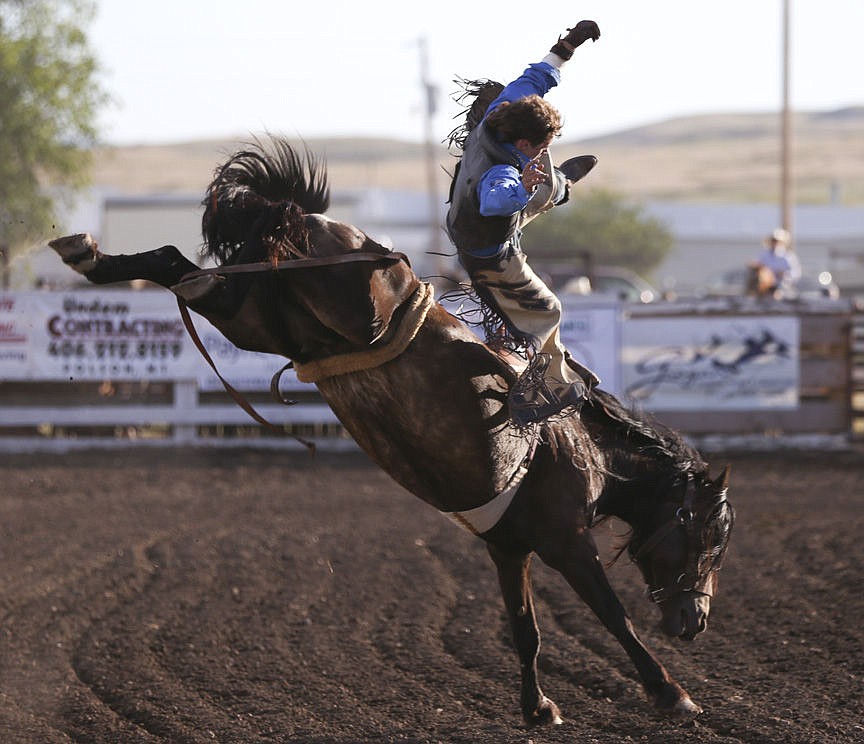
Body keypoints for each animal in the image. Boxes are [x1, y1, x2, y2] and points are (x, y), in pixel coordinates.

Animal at [49, 135, 736, 728]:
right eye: (710, 535)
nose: (696, 621)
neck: (579, 448)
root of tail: (321, 223)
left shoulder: (508, 546)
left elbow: (526, 629)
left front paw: (538, 707)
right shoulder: (566, 541)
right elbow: (614, 616)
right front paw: (672, 694)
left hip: (253, 315)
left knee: (181, 268)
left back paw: (86, 253)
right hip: (321, 305)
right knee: (196, 272)